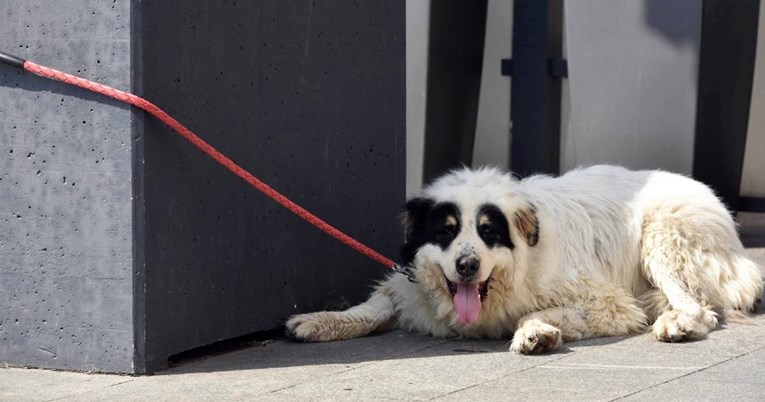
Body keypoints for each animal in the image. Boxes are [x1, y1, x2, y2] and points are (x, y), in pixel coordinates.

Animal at [284, 165, 760, 354]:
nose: (467, 267)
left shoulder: (610, 304)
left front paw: (536, 333)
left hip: (663, 234)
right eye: (447, 231)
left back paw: (675, 322)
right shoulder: (409, 286)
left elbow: (531, 314)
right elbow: (371, 307)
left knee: (699, 307)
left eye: (489, 231)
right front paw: (319, 320)